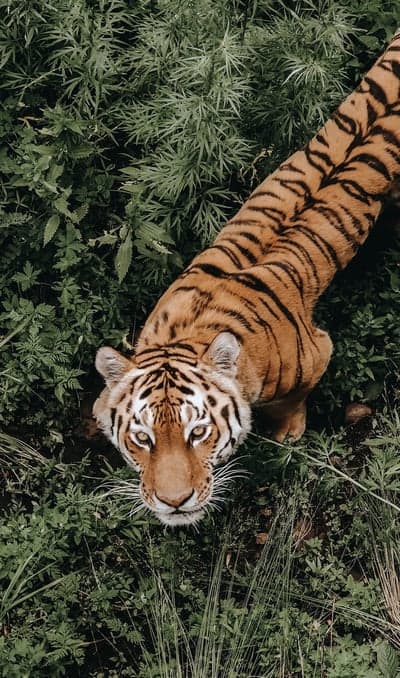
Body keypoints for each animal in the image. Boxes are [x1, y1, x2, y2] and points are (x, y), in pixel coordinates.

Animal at [93, 32, 400, 526]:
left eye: (199, 432)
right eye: (142, 438)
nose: (174, 502)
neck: (188, 333)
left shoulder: (319, 352)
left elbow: (293, 401)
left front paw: (287, 433)